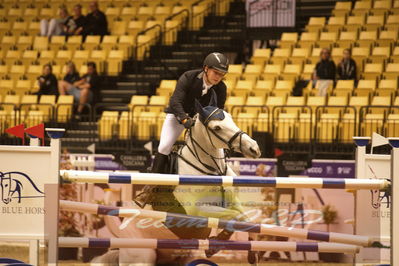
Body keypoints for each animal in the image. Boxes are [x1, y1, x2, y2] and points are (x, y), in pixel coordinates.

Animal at [94, 92, 262, 266]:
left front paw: (252, 253)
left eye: (230, 117)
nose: (253, 148)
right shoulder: (197, 212)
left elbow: (248, 220)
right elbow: (235, 217)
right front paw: (217, 243)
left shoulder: (232, 201)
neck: (212, 169)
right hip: (140, 256)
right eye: (217, 128)